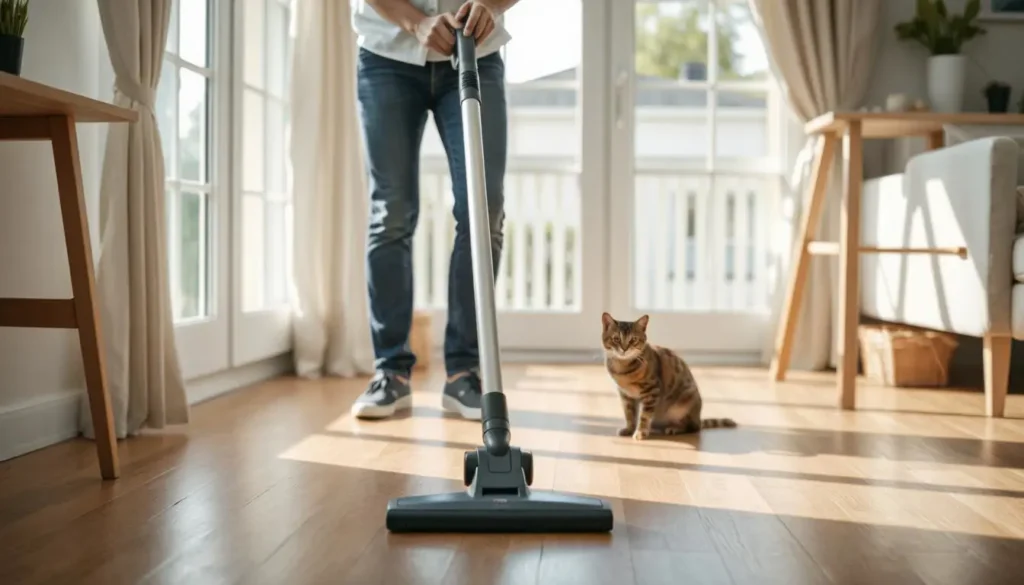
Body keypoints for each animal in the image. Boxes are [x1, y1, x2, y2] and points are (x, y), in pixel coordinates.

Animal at [598, 311, 737, 438]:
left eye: (633, 339)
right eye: (616, 339)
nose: (624, 349)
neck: (623, 369)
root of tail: (698, 418)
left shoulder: (651, 390)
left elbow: (644, 416)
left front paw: (641, 432)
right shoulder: (626, 396)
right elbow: (629, 414)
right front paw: (629, 429)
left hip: (684, 403)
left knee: (693, 427)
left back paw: (675, 428)